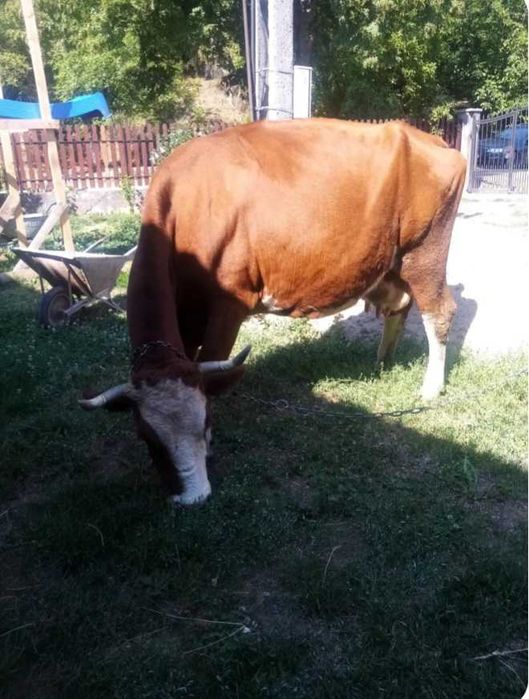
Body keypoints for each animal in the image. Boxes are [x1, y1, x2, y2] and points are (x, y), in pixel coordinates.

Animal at [80, 118, 466, 505]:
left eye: (204, 422)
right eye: (147, 437)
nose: (194, 497)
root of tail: (424, 137)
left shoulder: (230, 302)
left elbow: (215, 366)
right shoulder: (185, 316)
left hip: (425, 252)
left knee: (439, 311)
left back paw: (431, 387)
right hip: (389, 263)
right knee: (399, 305)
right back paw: (383, 362)